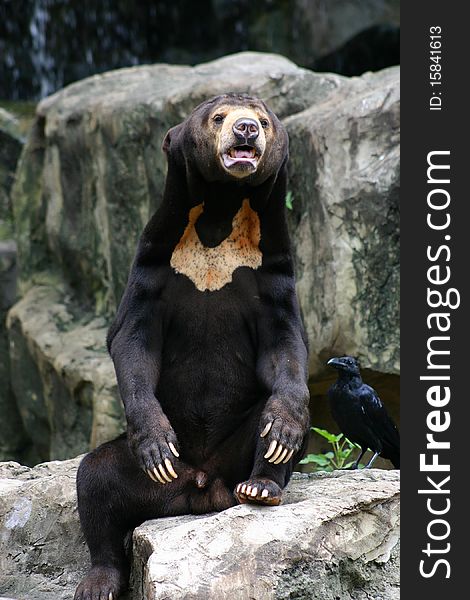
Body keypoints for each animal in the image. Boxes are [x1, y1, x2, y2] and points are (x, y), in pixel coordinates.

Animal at [74, 94, 312, 600]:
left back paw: (261, 487)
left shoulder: (272, 268)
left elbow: (284, 344)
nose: (246, 130)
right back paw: (100, 581)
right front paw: (157, 444)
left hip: (233, 454)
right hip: (146, 479)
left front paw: (283, 429)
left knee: (271, 434)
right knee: (97, 481)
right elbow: (132, 339)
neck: (222, 212)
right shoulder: (155, 260)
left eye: (264, 121)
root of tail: (202, 486)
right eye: (218, 117)